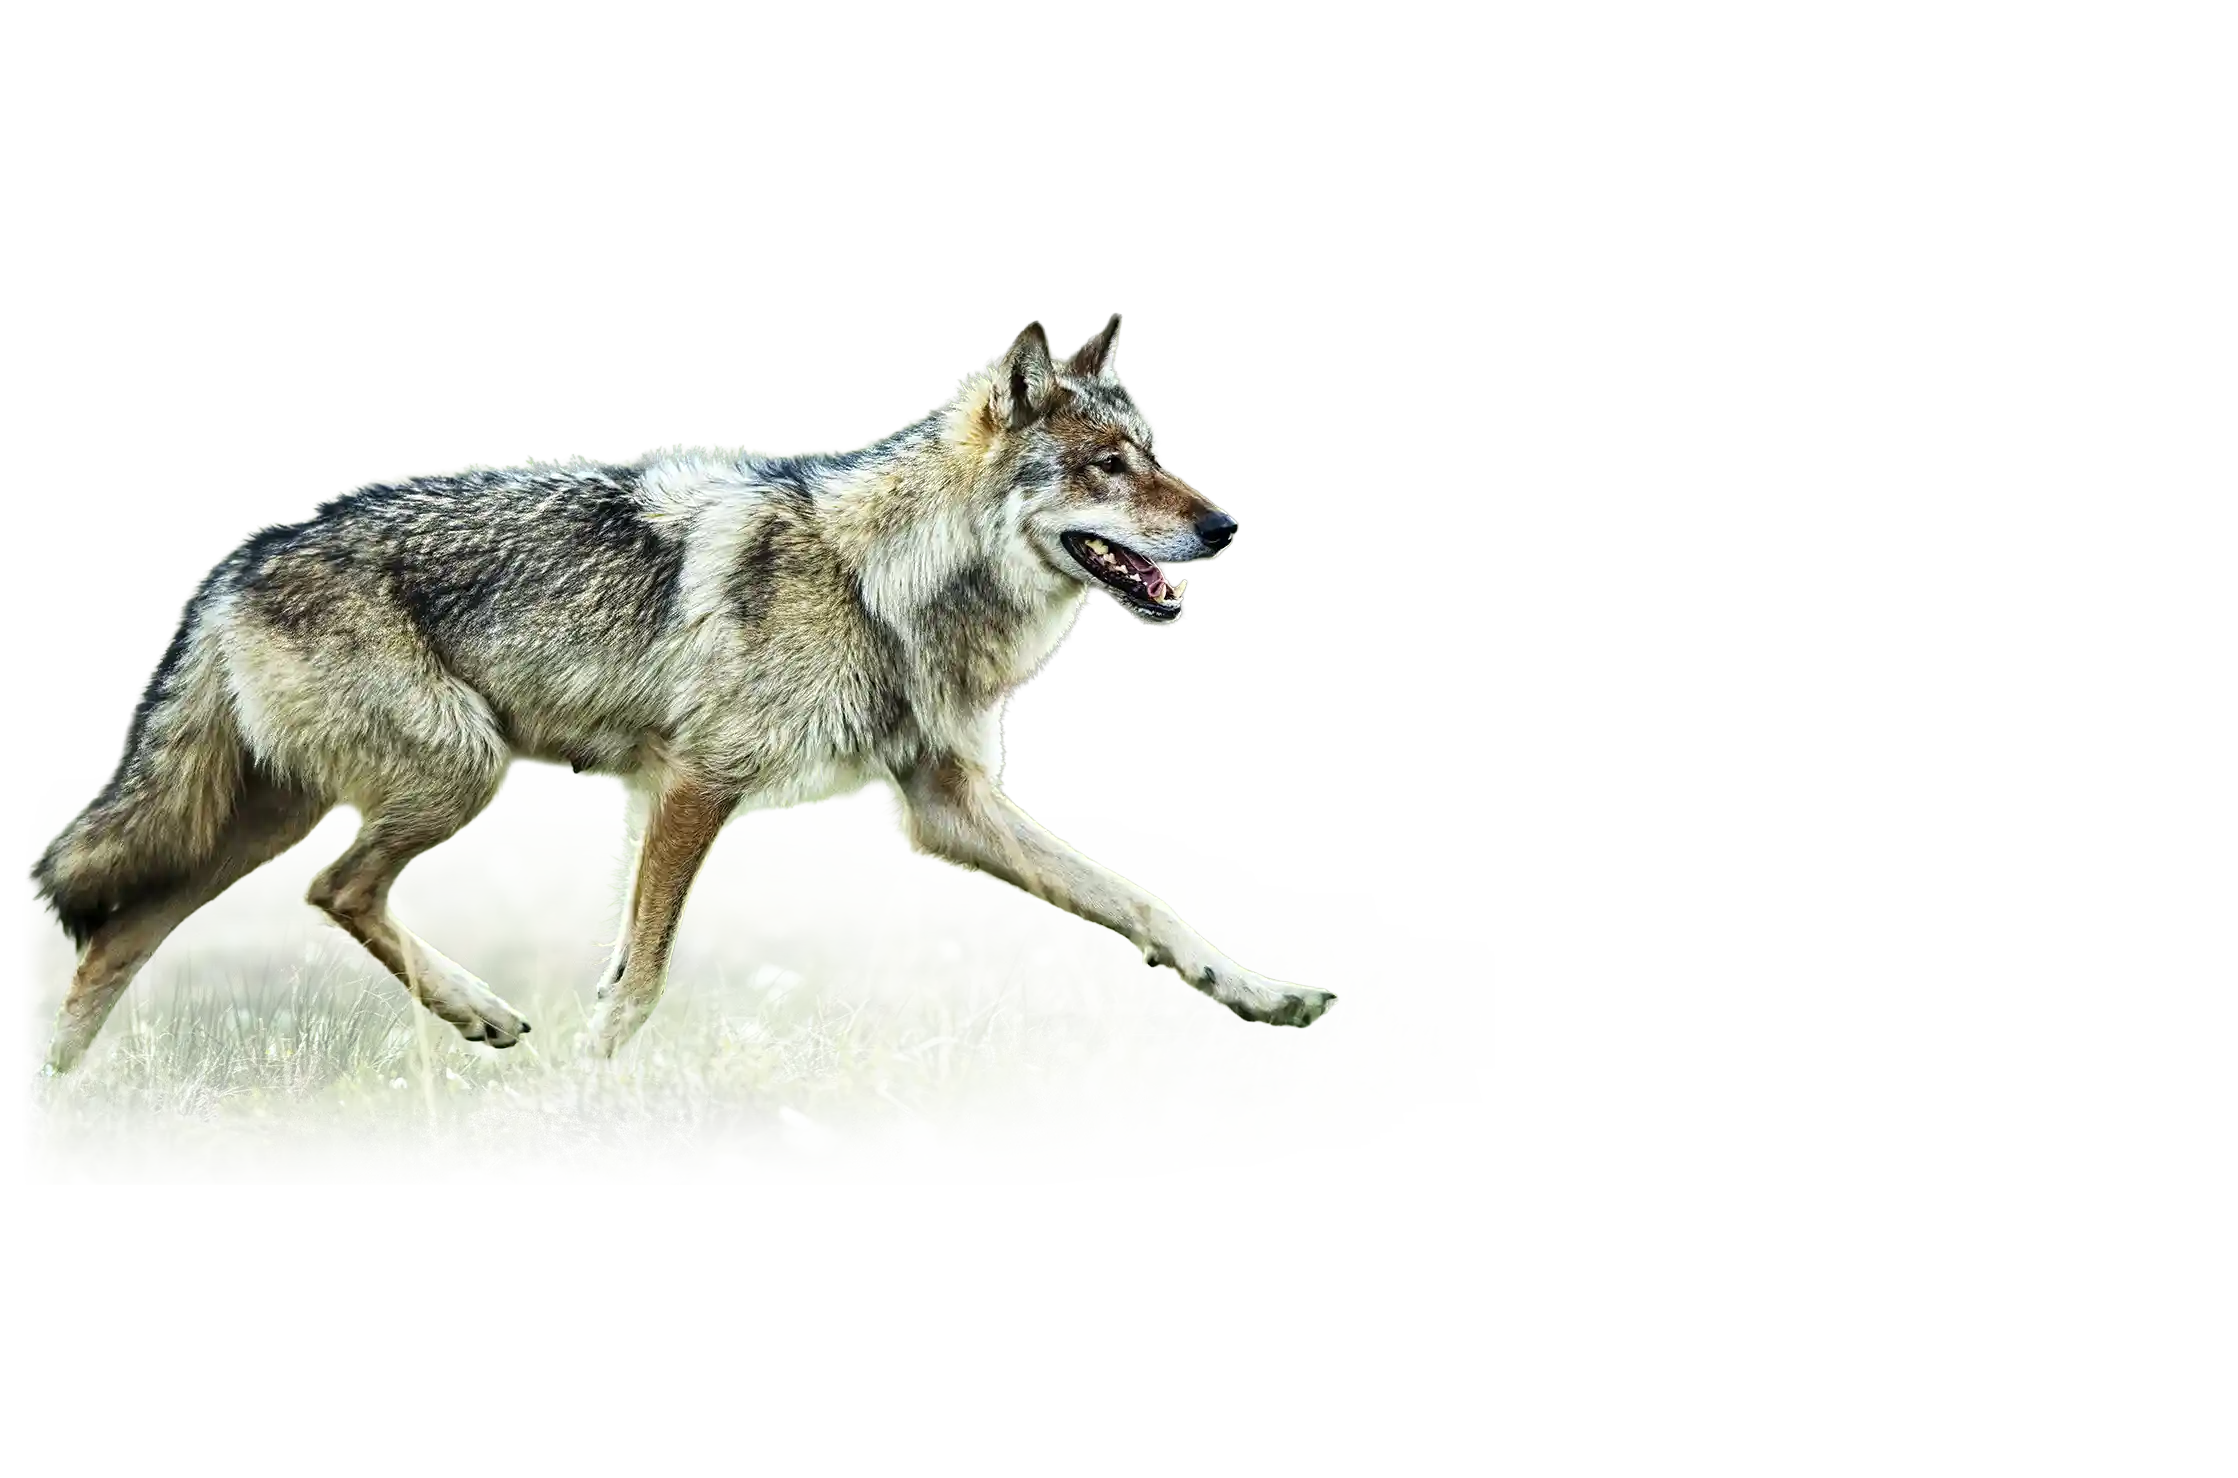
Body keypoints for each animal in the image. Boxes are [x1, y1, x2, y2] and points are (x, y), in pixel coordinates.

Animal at [31, 314, 1337, 1069]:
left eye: (1164, 459)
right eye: (1109, 467)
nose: (1226, 525)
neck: (880, 576)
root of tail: (243, 557)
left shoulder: (948, 803)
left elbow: (1142, 903)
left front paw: (1259, 994)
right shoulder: (698, 778)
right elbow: (643, 970)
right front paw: (600, 1102)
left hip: (276, 812)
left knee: (116, 946)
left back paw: (65, 1118)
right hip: (453, 776)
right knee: (328, 891)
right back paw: (480, 1011)